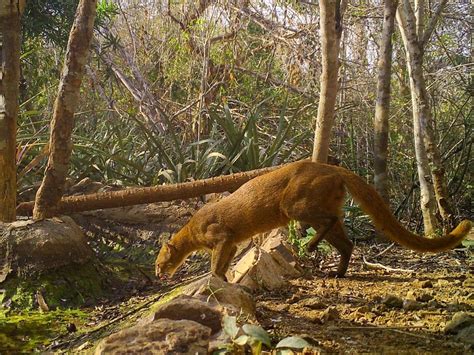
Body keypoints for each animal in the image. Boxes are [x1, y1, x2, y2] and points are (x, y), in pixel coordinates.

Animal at [156, 161, 470, 280]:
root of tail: (333, 167)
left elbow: (215, 262)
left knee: (331, 222)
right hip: (318, 209)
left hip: (295, 206)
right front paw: (223, 278)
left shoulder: (222, 236)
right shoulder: (231, 243)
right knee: (346, 242)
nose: (158, 274)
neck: (193, 229)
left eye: (159, 263)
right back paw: (338, 272)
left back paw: (311, 248)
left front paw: (214, 279)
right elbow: (223, 263)